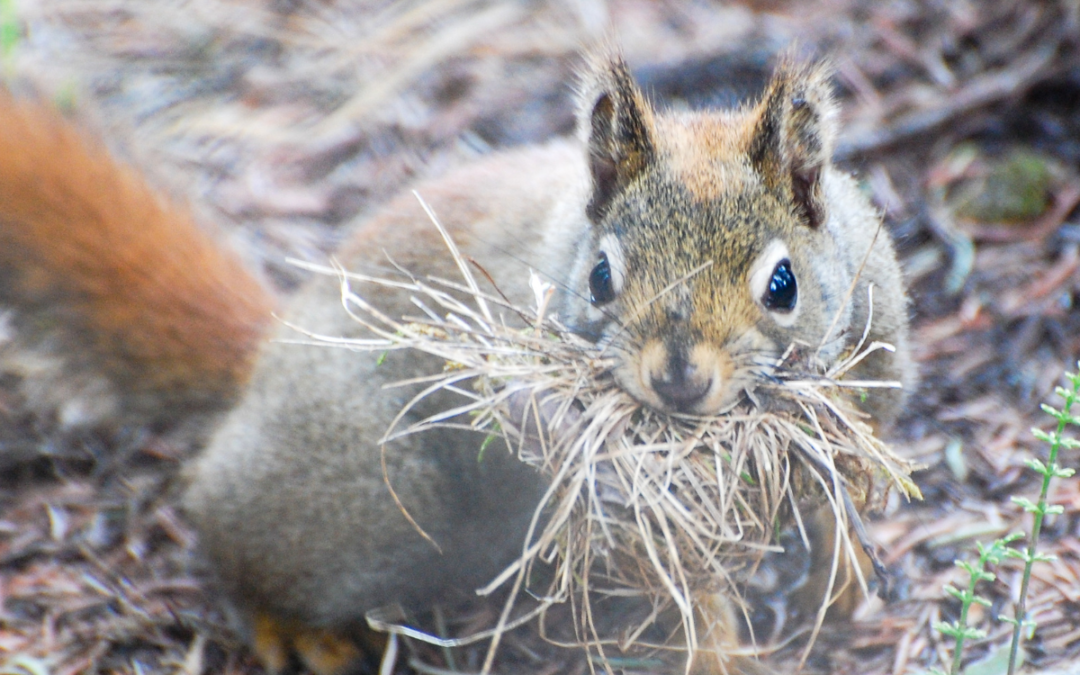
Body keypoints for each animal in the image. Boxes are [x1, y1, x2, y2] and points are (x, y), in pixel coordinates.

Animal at [0, 51, 911, 673]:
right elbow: (686, 590)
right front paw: (719, 654)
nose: (679, 376)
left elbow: (835, 491)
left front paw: (844, 567)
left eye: (783, 284)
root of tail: (272, 350)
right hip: (365, 494)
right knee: (232, 531)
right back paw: (291, 628)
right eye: (600, 276)